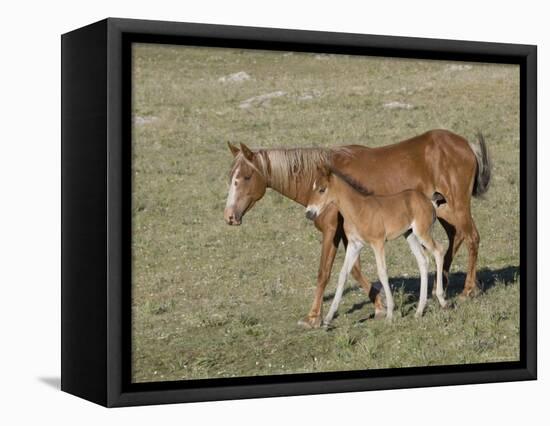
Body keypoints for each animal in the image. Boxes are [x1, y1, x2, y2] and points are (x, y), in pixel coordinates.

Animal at [224, 130, 492, 330]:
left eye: (246, 177)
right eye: (230, 177)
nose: (230, 217)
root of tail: (465, 144)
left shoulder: (332, 231)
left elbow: (324, 272)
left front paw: (313, 317)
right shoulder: (350, 236)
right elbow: (352, 270)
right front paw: (379, 305)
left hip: (456, 206)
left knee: (471, 238)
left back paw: (467, 290)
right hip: (442, 211)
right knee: (454, 239)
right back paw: (441, 286)